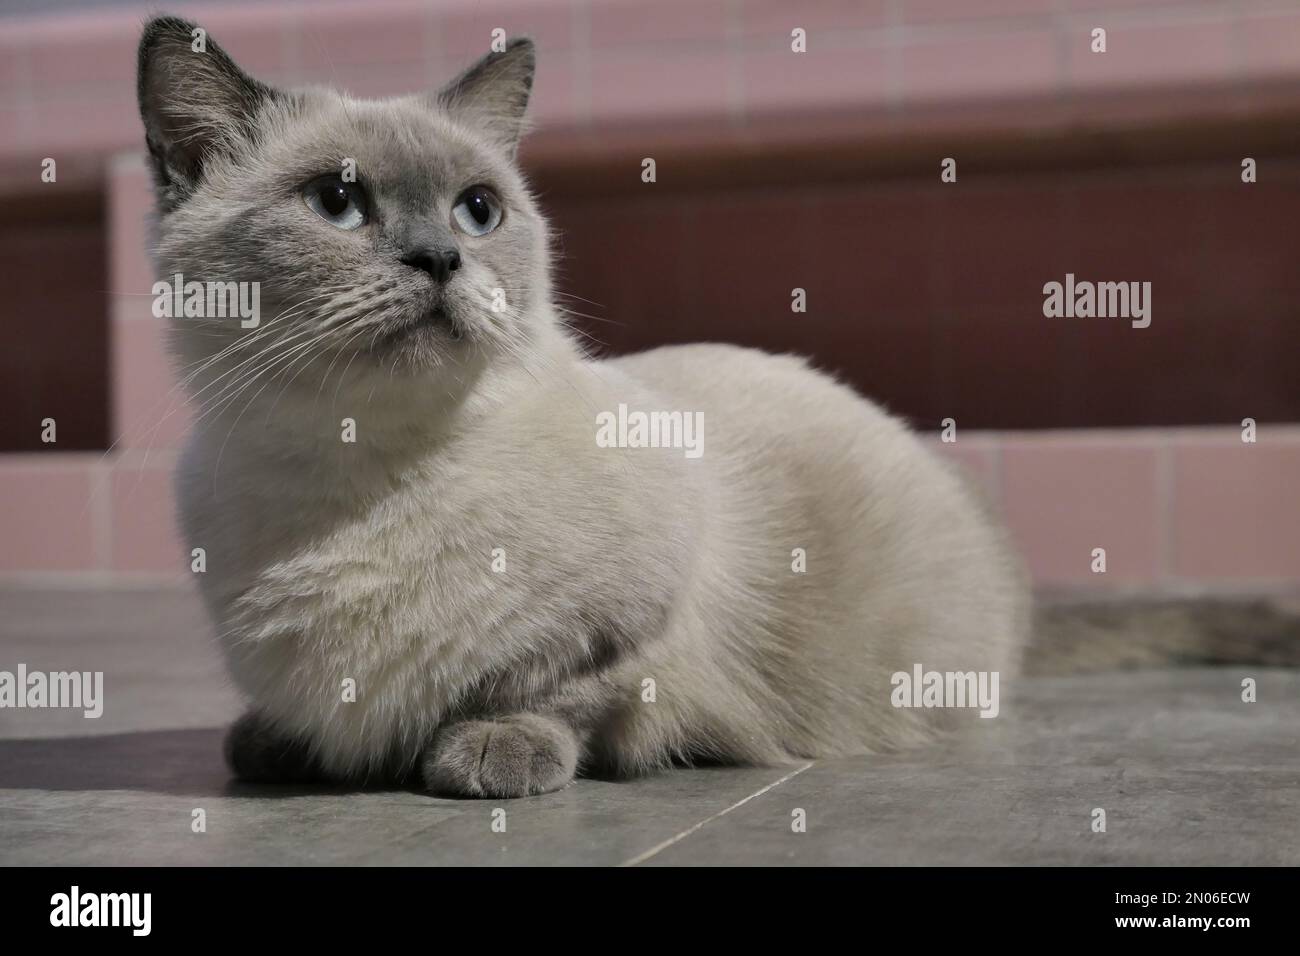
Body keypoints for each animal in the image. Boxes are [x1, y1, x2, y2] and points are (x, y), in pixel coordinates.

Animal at [137, 16, 1294, 801]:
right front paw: (282, 745)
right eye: (336, 202)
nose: (440, 258)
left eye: (478, 210)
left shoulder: (639, 603)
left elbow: (549, 686)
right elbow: (296, 717)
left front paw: (486, 751)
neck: (356, 479)